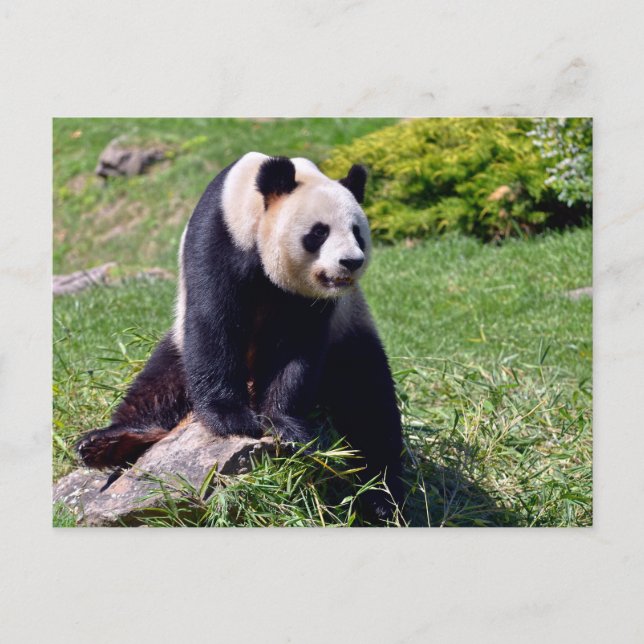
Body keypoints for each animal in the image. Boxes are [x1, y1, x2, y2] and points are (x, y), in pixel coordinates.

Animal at [77, 152, 404, 518]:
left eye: (358, 233)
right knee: (158, 385)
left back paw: (382, 498)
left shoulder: (313, 302)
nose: (351, 261)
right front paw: (232, 419)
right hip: (177, 347)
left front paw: (284, 425)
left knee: (369, 404)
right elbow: (213, 322)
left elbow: (294, 348)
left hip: (349, 335)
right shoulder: (218, 237)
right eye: (319, 232)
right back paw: (107, 444)